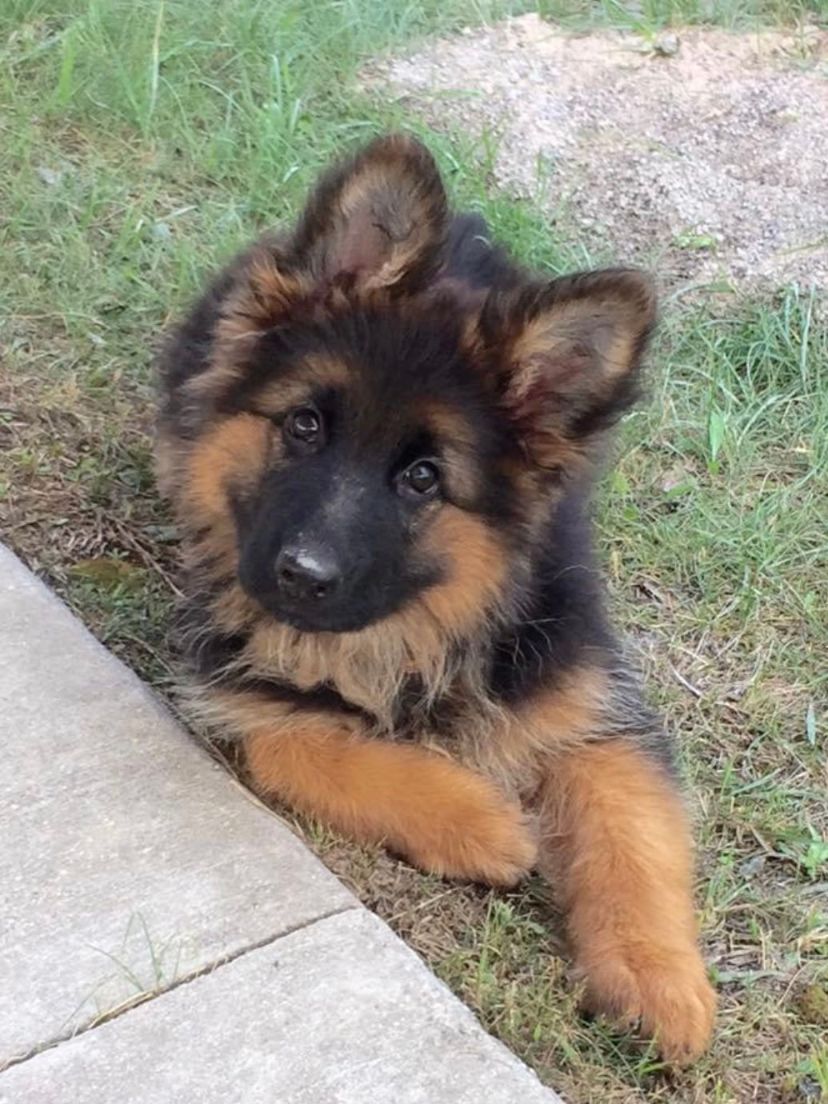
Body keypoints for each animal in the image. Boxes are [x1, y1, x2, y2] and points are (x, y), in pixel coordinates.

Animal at [158, 135, 715, 1059]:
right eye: (304, 426)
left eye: (423, 478)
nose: (300, 575)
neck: (427, 627)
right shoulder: (234, 677)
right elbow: (303, 745)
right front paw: (483, 824)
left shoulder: (592, 701)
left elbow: (631, 828)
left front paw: (654, 975)